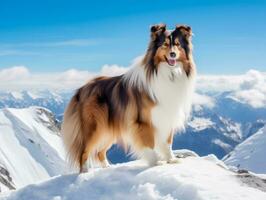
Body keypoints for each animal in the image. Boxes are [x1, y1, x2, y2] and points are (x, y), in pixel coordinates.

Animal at [61, 24, 195, 173]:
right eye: (165, 44)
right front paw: (156, 163)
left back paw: (107, 167)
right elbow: (150, 144)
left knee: (100, 151)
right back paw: (85, 172)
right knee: (84, 151)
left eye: (177, 45)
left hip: (108, 129)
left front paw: (171, 159)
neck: (167, 73)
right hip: (94, 127)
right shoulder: (143, 121)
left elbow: (167, 142)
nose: (173, 54)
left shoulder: (167, 115)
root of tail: (81, 89)